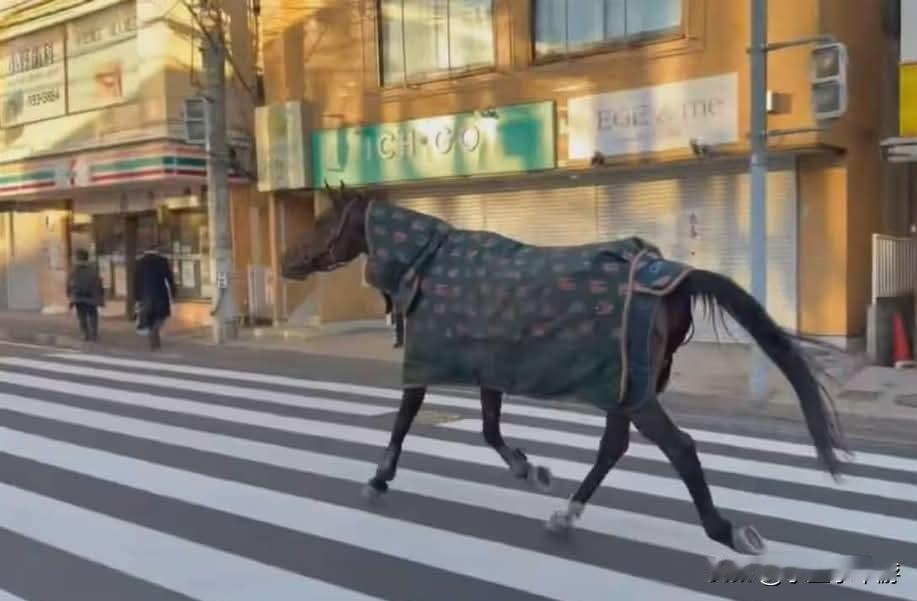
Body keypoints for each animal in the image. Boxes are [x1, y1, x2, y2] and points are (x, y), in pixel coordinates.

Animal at [280, 181, 849, 557]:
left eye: (324, 221)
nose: (288, 261)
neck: (426, 263)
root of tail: (669, 276)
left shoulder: (425, 361)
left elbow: (403, 422)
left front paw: (377, 480)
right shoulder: (490, 365)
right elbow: (490, 429)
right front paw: (531, 470)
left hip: (635, 391)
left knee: (680, 449)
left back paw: (727, 530)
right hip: (627, 386)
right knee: (613, 447)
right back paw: (565, 515)